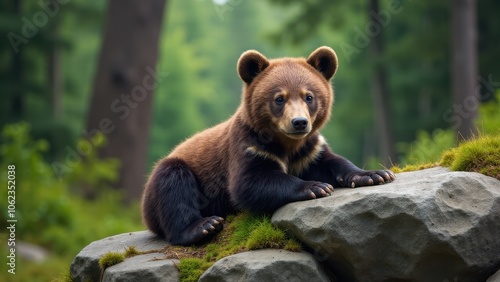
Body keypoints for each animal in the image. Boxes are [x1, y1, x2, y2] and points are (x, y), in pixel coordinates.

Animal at [141, 46, 394, 245]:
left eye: (309, 96)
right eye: (279, 98)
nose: (299, 122)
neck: (286, 143)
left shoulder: (309, 150)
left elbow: (334, 162)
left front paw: (376, 175)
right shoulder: (248, 147)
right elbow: (250, 183)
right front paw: (315, 186)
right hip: (167, 180)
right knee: (173, 185)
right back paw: (203, 226)